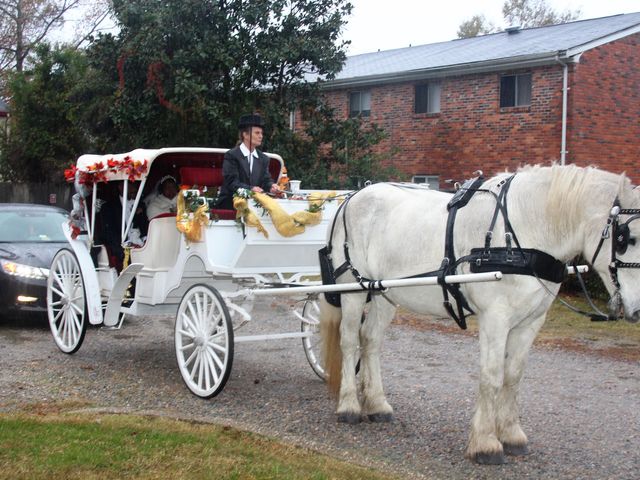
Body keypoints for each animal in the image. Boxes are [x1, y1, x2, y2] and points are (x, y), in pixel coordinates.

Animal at [322, 165, 640, 464]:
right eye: (626, 238)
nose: (637, 310)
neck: (522, 233)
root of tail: (352, 197)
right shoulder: (495, 318)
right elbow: (492, 375)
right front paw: (486, 443)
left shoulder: (531, 322)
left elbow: (514, 376)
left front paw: (511, 435)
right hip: (352, 289)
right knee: (349, 341)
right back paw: (349, 405)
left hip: (385, 293)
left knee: (370, 340)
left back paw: (377, 404)